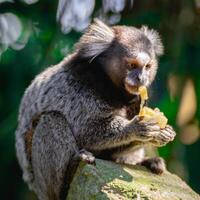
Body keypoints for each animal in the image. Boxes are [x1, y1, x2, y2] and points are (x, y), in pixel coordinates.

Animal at [15, 19, 175, 200]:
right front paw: (135, 127)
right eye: (132, 65)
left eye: (147, 66)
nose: (141, 78)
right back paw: (70, 173)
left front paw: (163, 133)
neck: (111, 86)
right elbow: (86, 131)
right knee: (52, 119)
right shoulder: (77, 90)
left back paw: (148, 162)